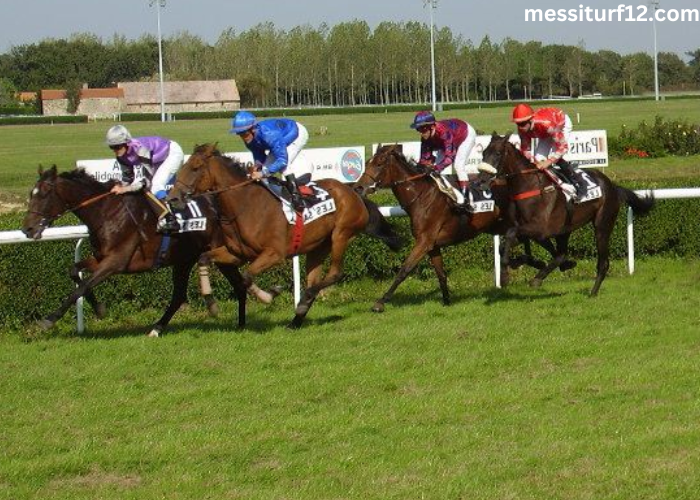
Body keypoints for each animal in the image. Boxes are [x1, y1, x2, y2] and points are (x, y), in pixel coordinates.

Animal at [21, 165, 249, 336]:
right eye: (31, 194)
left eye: (44, 194)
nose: (27, 229)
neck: (106, 212)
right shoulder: (100, 258)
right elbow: (74, 271)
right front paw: (100, 309)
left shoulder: (115, 262)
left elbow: (83, 286)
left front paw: (49, 320)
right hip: (184, 259)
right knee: (179, 296)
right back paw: (157, 328)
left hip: (218, 253)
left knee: (239, 285)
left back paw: (241, 323)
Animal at [166, 145, 402, 330]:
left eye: (195, 167)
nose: (172, 198)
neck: (244, 205)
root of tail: (353, 192)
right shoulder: (236, 253)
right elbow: (204, 258)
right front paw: (211, 303)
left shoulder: (274, 254)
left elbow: (247, 276)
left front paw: (269, 294)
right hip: (318, 246)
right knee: (313, 279)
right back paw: (297, 318)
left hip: (341, 235)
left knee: (335, 273)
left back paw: (302, 302)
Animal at [356, 142, 548, 312]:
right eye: (367, 162)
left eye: (379, 163)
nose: (358, 187)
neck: (421, 197)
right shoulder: (432, 245)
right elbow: (441, 273)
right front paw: (447, 300)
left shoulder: (423, 242)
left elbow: (404, 269)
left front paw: (381, 302)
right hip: (502, 225)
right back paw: (534, 263)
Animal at [478, 135, 652, 294]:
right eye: (484, 153)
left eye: (498, 153)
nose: (480, 181)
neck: (530, 186)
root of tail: (613, 186)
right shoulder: (532, 231)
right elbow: (503, 245)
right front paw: (522, 263)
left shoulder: (540, 229)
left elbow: (509, 234)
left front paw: (505, 275)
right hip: (565, 228)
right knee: (562, 254)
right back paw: (547, 274)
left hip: (602, 225)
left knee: (602, 263)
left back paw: (592, 292)